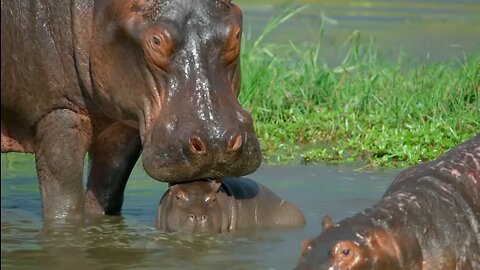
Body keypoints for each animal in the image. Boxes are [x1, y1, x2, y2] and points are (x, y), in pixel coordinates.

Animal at [0, 0, 262, 219]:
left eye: (236, 34)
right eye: (156, 40)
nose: (216, 141)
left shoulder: (122, 127)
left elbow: (106, 194)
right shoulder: (59, 112)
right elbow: (64, 203)